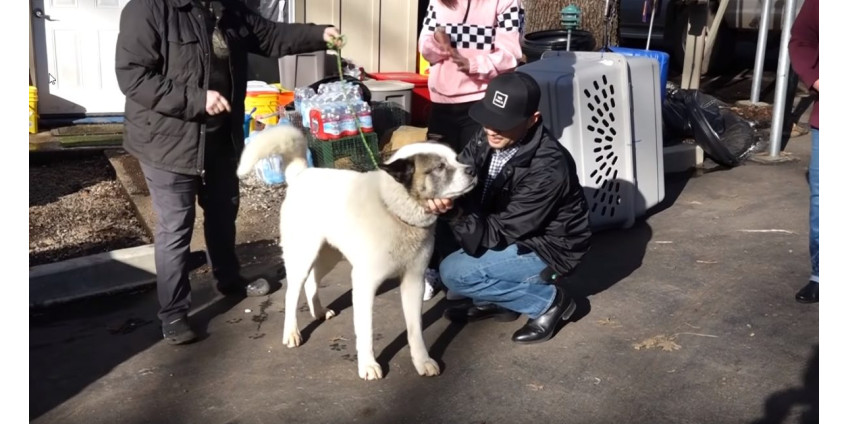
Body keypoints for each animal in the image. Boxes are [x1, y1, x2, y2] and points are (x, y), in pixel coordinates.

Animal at [237, 126, 476, 380]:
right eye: (439, 167)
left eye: (457, 159)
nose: (472, 170)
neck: (392, 208)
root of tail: (302, 173)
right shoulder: (364, 284)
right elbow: (366, 331)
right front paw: (368, 365)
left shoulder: (414, 281)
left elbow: (415, 330)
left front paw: (422, 361)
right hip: (302, 256)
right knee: (292, 294)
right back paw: (291, 332)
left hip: (329, 256)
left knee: (312, 281)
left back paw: (318, 311)